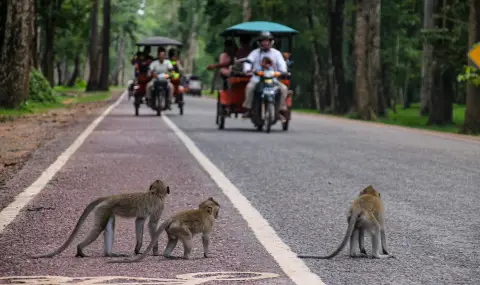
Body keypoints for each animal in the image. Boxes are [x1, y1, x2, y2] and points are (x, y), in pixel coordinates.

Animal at [30, 180, 171, 258]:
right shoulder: (160, 206)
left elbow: (139, 221)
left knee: (108, 226)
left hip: (106, 209)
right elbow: (152, 224)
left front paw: (137, 249)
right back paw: (80, 249)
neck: (155, 193)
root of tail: (110, 197)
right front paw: (155, 250)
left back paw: (109, 254)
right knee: (98, 228)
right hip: (103, 209)